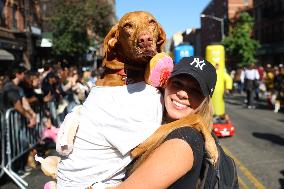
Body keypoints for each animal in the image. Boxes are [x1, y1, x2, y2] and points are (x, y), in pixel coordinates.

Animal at [95, 11, 217, 164]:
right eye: (127, 26)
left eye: (151, 22)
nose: (145, 40)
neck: (128, 74)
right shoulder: (140, 141)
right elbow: (194, 118)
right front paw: (212, 147)